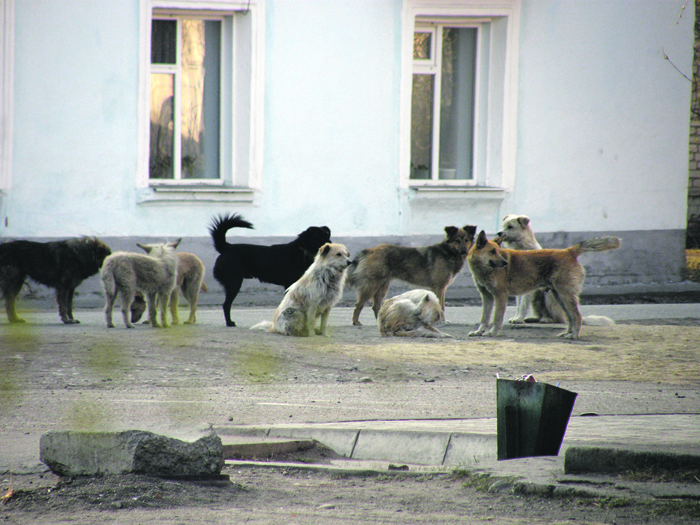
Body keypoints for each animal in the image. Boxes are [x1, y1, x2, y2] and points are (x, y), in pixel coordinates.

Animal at [344, 224, 476, 326]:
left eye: (467, 240)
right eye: (457, 240)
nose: (464, 251)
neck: (448, 252)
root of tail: (370, 250)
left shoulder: (441, 288)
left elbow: (442, 306)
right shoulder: (439, 288)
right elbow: (441, 306)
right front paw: (441, 321)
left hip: (382, 287)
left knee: (376, 306)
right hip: (372, 285)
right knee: (359, 304)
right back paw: (356, 322)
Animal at [468, 230, 620, 340]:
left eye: (498, 252)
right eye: (492, 251)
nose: (505, 263)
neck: (484, 269)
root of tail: (569, 251)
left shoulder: (500, 296)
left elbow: (496, 318)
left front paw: (492, 332)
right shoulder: (487, 297)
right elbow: (484, 317)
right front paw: (479, 331)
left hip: (564, 296)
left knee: (577, 316)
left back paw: (574, 335)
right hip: (559, 297)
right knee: (570, 318)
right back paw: (567, 333)